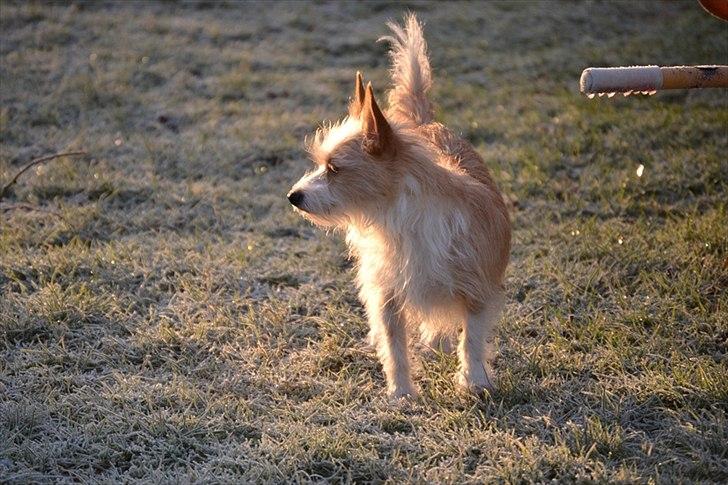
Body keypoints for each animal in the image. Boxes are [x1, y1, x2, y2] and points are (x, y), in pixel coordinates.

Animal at [286, 14, 512, 398]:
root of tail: (422, 122)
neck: (398, 218)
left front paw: (475, 381)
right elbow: (395, 345)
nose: (294, 196)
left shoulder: (477, 288)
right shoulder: (387, 294)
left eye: (334, 169)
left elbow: (472, 338)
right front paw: (401, 393)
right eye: (321, 165)